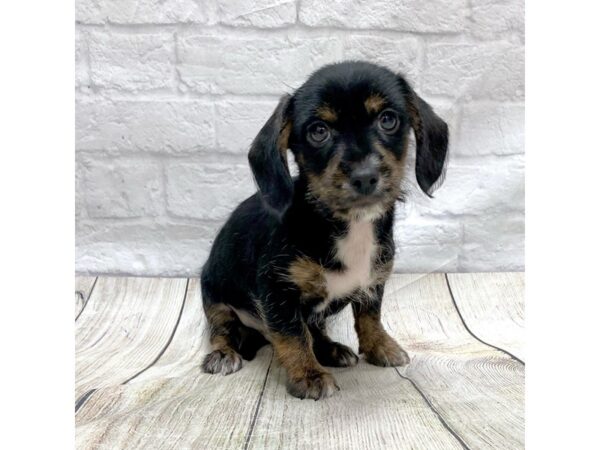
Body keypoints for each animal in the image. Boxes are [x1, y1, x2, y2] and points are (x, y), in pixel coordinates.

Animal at [199, 60, 448, 400]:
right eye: (319, 131)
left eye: (388, 119)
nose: (365, 176)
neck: (348, 225)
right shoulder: (277, 291)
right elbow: (293, 336)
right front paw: (309, 375)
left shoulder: (374, 280)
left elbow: (370, 317)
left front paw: (380, 347)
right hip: (214, 296)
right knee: (221, 328)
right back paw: (224, 354)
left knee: (316, 330)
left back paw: (332, 350)